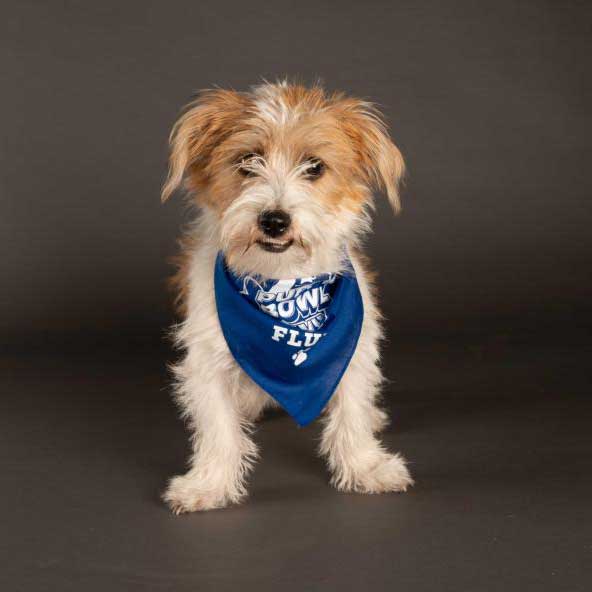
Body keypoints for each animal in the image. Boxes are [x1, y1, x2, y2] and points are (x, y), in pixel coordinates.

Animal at [160, 80, 414, 512]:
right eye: (248, 160)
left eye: (315, 167)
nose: (274, 220)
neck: (281, 280)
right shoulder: (207, 358)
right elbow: (217, 425)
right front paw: (209, 484)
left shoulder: (354, 348)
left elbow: (351, 411)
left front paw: (365, 467)